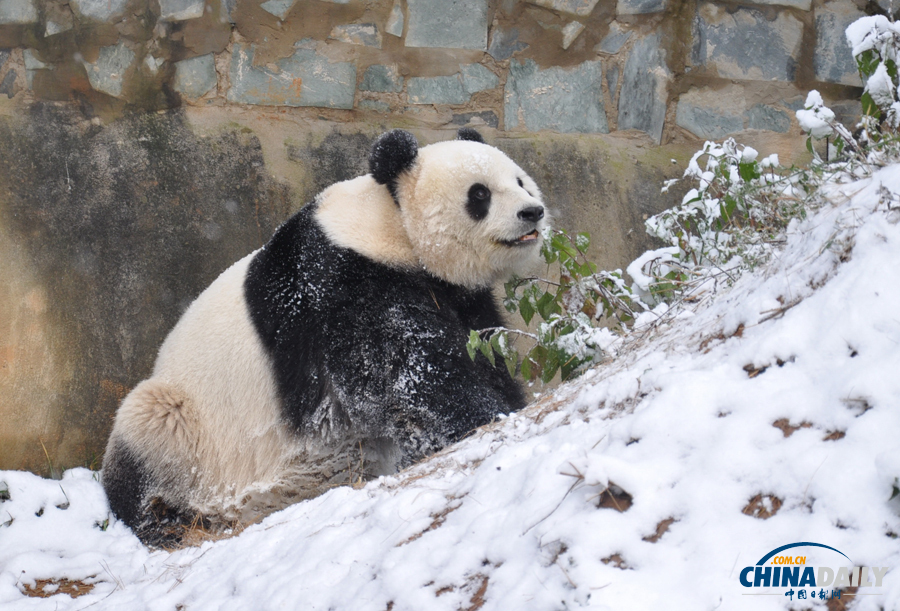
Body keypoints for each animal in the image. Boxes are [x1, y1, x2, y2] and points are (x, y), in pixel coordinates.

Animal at [102, 125, 544, 544]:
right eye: (479, 194)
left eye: (520, 181)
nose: (533, 212)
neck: (391, 224)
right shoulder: (341, 288)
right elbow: (408, 378)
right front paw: (484, 419)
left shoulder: (455, 294)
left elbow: (480, 354)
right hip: (190, 432)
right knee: (150, 431)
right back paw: (164, 522)